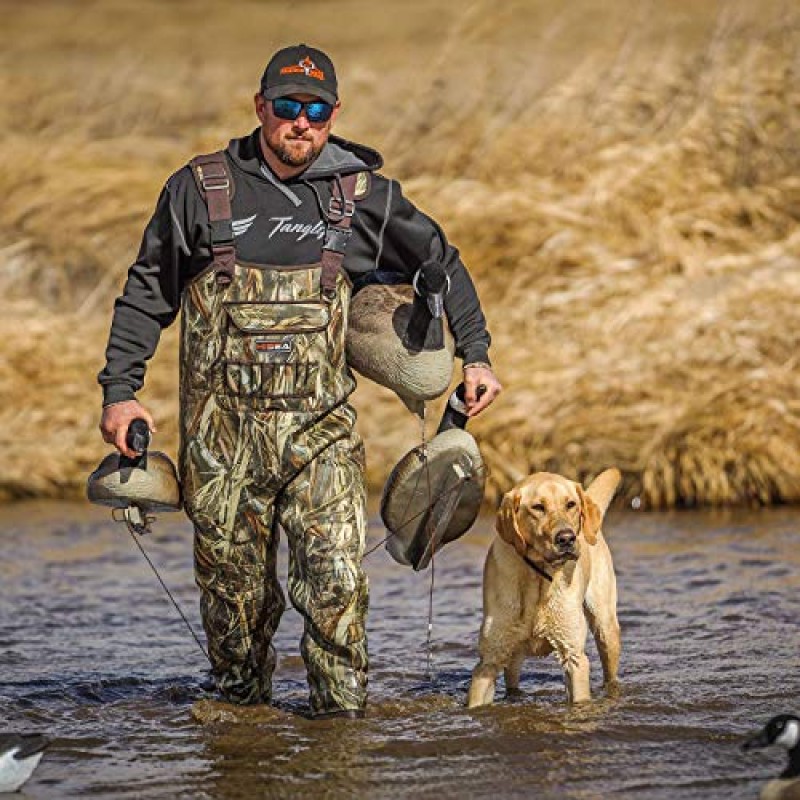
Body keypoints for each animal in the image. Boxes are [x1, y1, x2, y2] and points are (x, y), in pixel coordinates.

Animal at [466, 468, 620, 708]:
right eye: (538, 507)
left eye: (571, 504)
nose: (567, 538)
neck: (538, 576)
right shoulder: (488, 661)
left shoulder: (574, 656)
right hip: (513, 652)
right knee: (512, 678)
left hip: (606, 628)